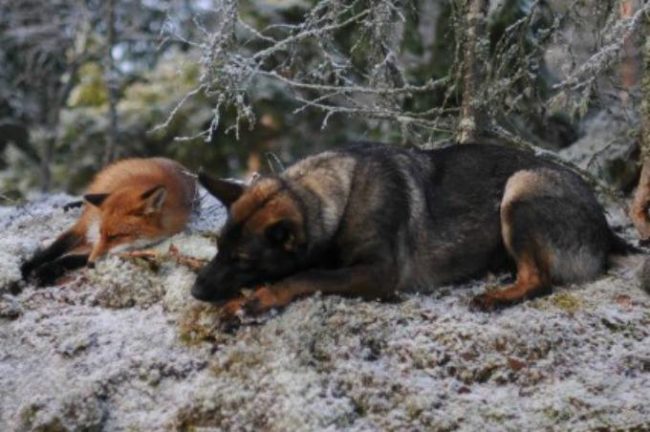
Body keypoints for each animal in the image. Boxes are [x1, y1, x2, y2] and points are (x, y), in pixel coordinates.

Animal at [21, 157, 197, 285]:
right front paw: (28, 266)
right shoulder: (84, 226)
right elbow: (53, 249)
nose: (91, 265)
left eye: (116, 236)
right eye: (101, 233)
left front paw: (47, 271)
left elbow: (70, 258)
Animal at [191, 142, 636, 321]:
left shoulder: (377, 273)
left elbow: (305, 275)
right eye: (218, 248)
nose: (195, 291)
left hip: (520, 189)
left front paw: (261, 298)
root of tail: (606, 228)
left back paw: (496, 297)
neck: (341, 196)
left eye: (243, 259)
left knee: (539, 280)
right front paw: (239, 301)